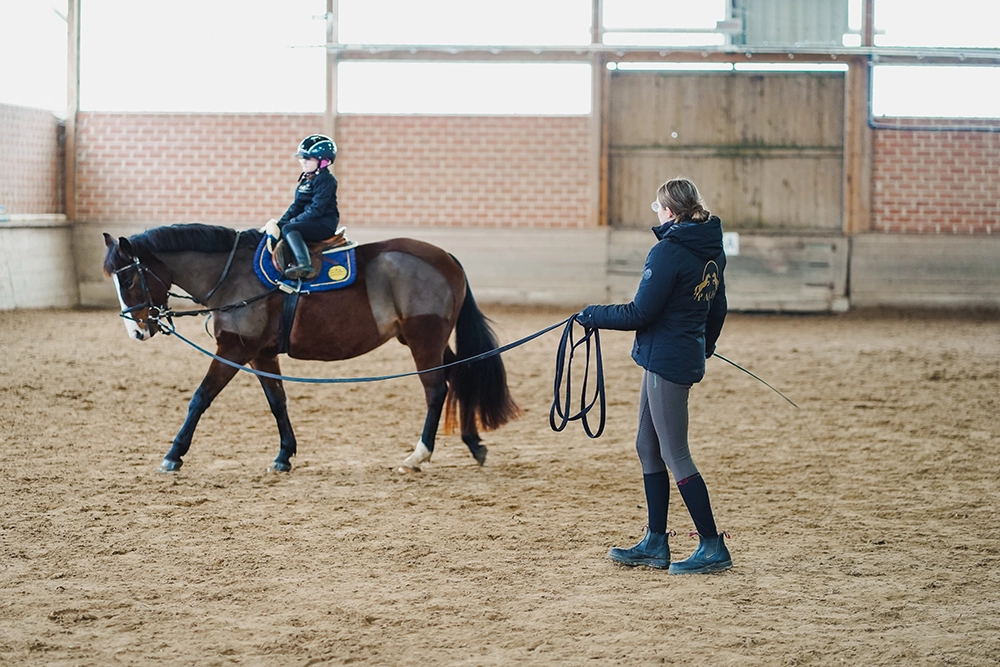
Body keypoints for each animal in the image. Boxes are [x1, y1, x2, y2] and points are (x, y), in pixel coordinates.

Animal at [102, 224, 520, 473]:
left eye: (131, 280)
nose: (137, 330)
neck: (232, 277)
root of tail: (446, 258)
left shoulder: (234, 350)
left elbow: (200, 398)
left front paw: (173, 455)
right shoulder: (262, 353)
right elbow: (278, 401)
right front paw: (284, 455)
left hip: (424, 340)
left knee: (436, 390)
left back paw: (418, 456)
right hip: (428, 340)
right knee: (461, 375)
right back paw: (473, 443)